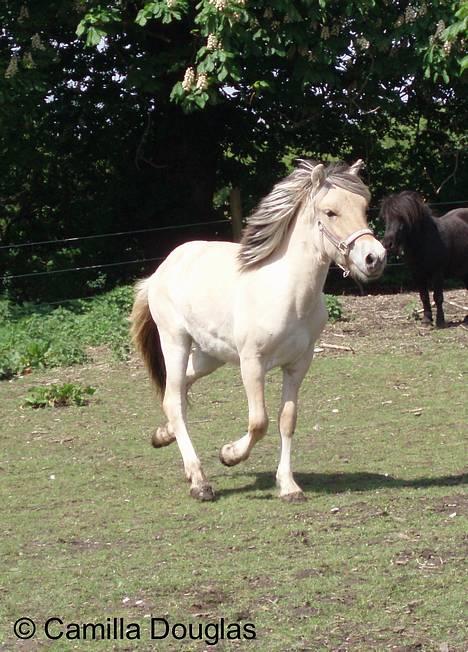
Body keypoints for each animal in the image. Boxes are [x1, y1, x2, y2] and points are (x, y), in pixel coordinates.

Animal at [130, 160, 386, 502]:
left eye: (364, 207)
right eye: (330, 212)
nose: (375, 258)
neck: (288, 292)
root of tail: (160, 271)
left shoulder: (298, 364)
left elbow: (287, 420)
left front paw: (289, 486)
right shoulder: (252, 363)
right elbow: (259, 422)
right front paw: (229, 455)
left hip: (210, 354)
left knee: (180, 388)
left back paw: (163, 436)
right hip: (176, 341)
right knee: (173, 399)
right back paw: (199, 482)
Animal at [380, 192, 468, 326]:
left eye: (403, 218)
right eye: (386, 218)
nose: (387, 244)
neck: (424, 242)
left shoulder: (437, 273)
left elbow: (438, 297)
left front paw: (440, 321)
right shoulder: (417, 274)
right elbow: (424, 296)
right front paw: (426, 320)